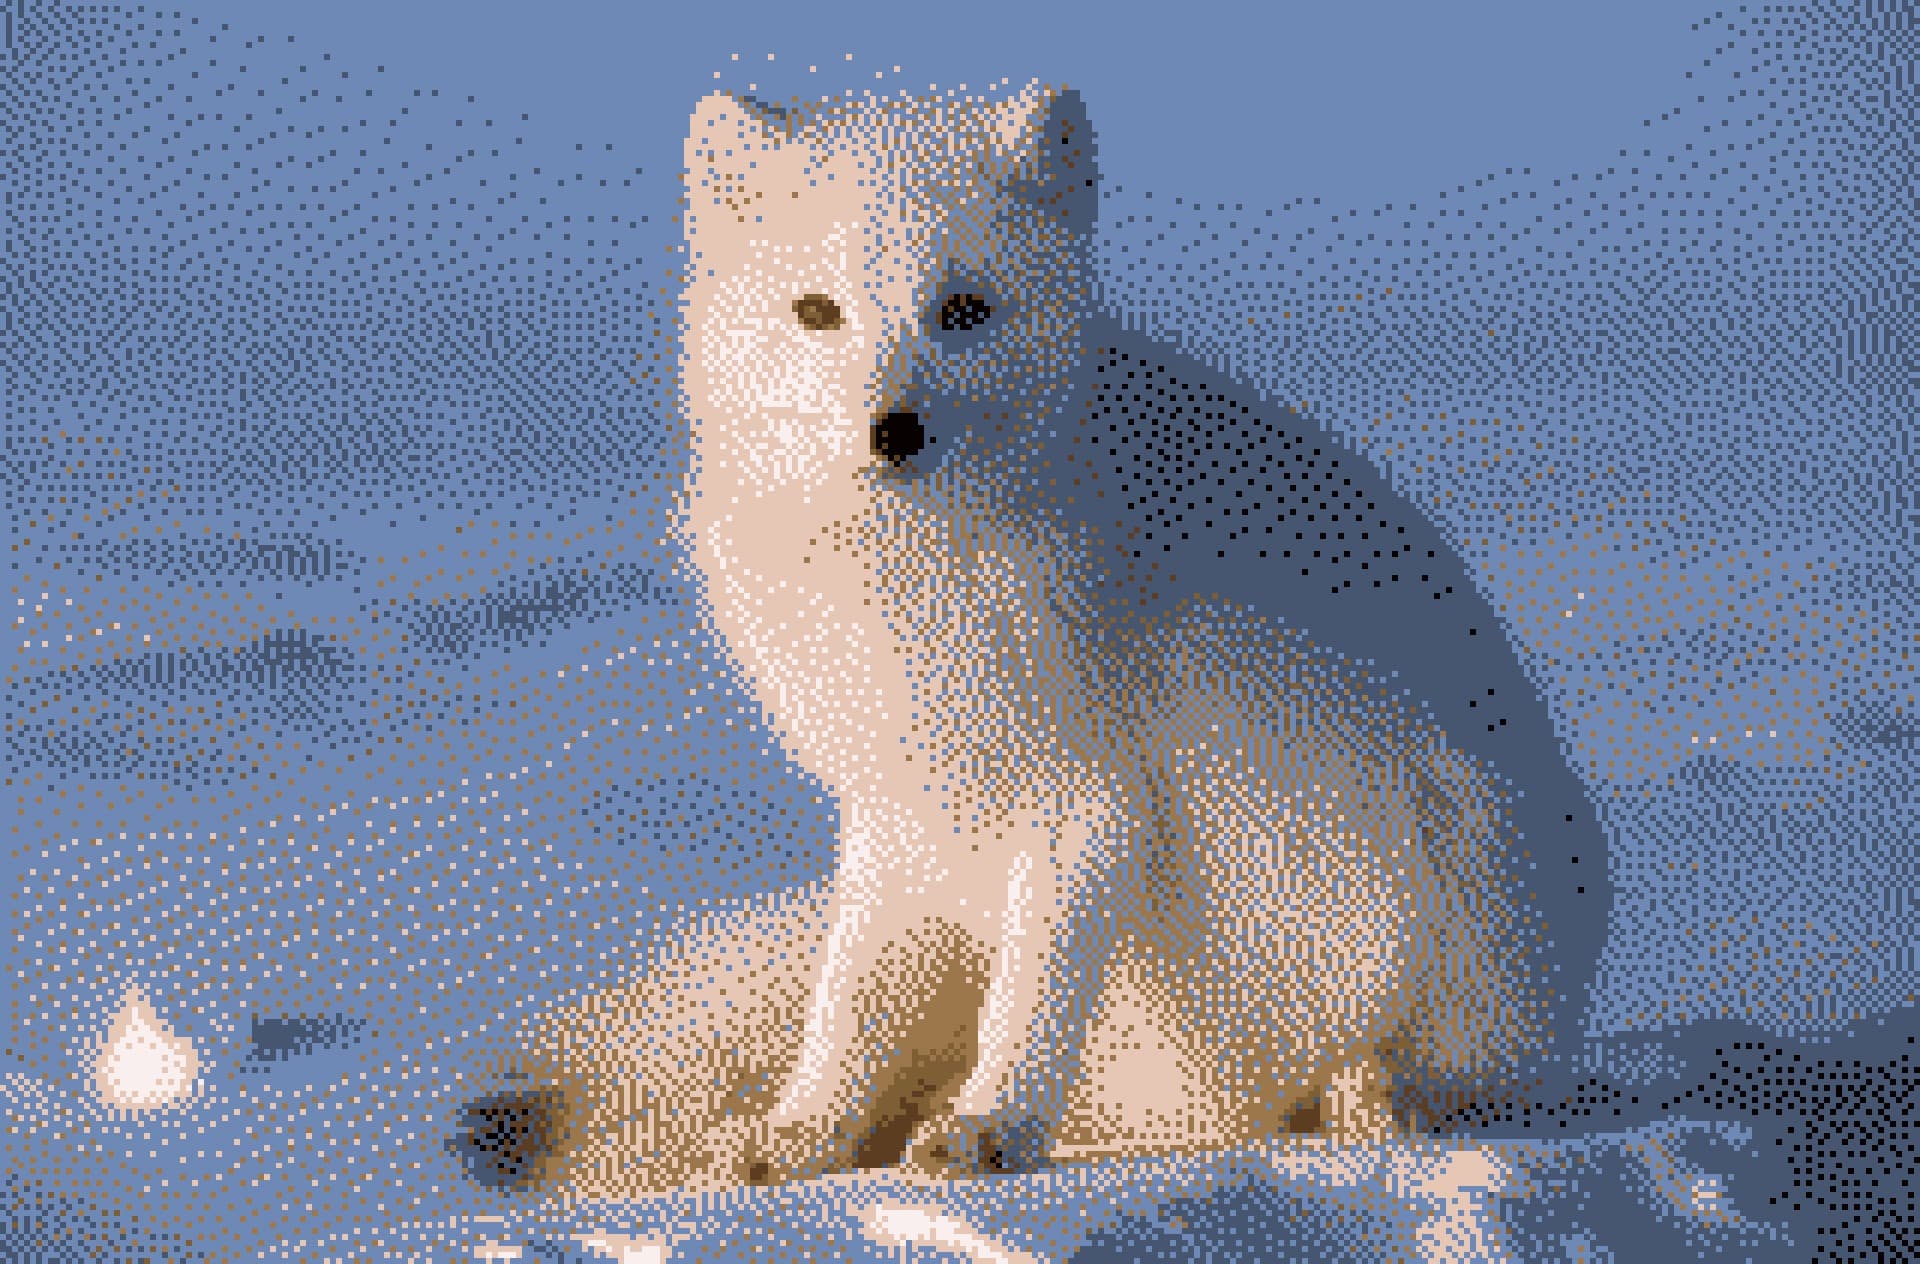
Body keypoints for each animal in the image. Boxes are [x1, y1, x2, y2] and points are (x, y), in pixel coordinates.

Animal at [460, 81, 1607, 1199]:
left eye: (963, 311)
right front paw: (802, 1138)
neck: (916, 573)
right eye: (818, 313)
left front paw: (989, 1127)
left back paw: (1374, 1093)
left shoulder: (1084, 794)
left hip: (1471, 884)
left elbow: (1035, 988)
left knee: (1464, 1081)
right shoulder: (900, 803)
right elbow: (848, 996)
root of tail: (1225, 1110)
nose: (893, 429)